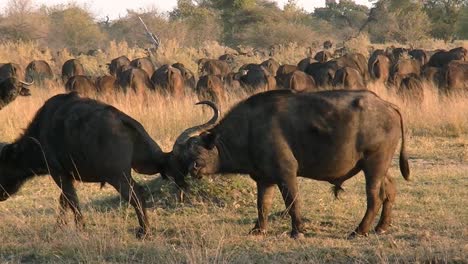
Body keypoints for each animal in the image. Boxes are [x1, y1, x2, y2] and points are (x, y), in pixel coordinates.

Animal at [0, 92, 167, 238]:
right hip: (147, 163)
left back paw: (144, 231)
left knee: (136, 195)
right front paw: (59, 227)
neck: (39, 135)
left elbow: (72, 201)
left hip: (118, 177)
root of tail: (122, 120)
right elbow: (64, 201)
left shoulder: (58, 174)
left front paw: (80, 228)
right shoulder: (68, 176)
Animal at [165, 89, 410, 238]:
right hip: (379, 166)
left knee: (374, 197)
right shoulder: (264, 180)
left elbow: (292, 202)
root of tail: (388, 105)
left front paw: (297, 230)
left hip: (374, 163)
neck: (249, 129)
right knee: (390, 190)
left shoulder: (286, 174)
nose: (193, 170)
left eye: (197, 149)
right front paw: (259, 229)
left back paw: (359, 230)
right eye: (182, 156)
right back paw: (381, 227)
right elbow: (262, 205)